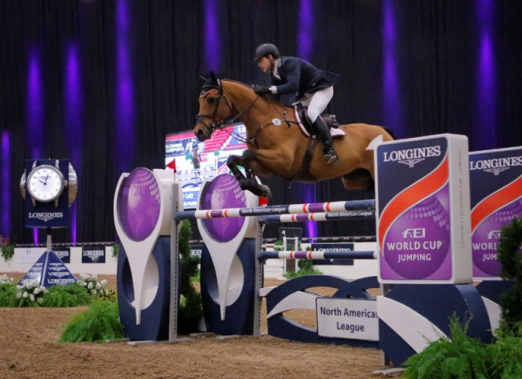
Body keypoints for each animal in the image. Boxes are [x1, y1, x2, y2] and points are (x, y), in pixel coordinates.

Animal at [193, 72, 392, 200]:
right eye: (199, 100)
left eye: (211, 99)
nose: (199, 132)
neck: (265, 119)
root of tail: (384, 131)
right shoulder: (268, 166)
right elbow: (234, 159)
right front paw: (255, 187)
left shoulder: (283, 160)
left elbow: (246, 154)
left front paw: (251, 184)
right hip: (354, 179)